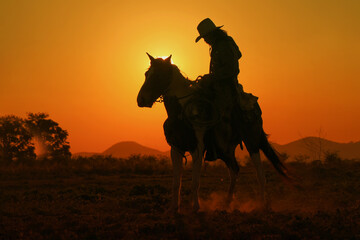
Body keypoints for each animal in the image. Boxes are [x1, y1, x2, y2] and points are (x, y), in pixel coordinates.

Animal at [136, 54, 288, 212]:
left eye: (159, 75)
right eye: (146, 74)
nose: (141, 99)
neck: (182, 112)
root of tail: (254, 106)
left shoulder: (197, 148)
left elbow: (195, 182)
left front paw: (196, 207)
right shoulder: (176, 149)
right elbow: (176, 182)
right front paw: (173, 208)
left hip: (252, 141)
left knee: (260, 173)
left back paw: (262, 204)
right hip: (226, 150)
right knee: (234, 170)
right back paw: (227, 203)